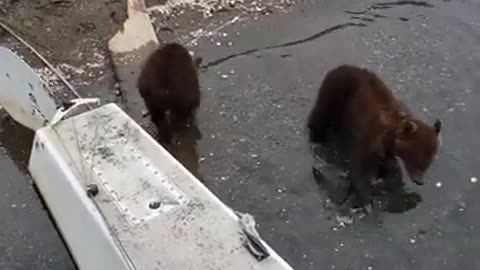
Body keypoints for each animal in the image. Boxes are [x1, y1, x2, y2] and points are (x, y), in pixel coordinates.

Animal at [310, 64, 440, 206]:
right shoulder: (368, 137)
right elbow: (360, 167)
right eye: (416, 157)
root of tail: (342, 66)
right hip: (335, 93)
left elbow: (390, 166)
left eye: (428, 161)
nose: (420, 181)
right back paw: (317, 136)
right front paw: (366, 198)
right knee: (320, 116)